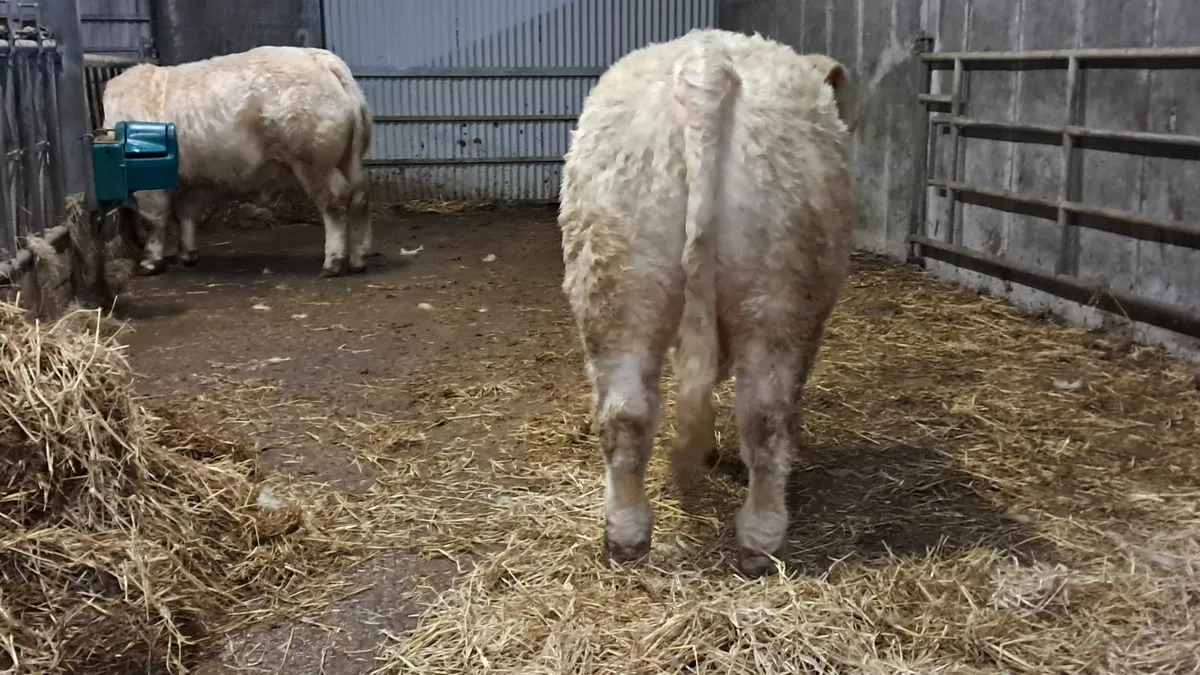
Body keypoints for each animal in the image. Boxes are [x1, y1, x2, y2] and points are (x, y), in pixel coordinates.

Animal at [101, 45, 373, 277]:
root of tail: (321, 60)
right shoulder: (199, 179)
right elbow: (185, 212)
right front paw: (186, 255)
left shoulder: (149, 184)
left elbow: (155, 219)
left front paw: (149, 262)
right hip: (349, 159)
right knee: (359, 197)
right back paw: (359, 259)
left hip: (313, 161)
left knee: (334, 202)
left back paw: (333, 263)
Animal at [559, 29, 859, 577]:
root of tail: (707, 61)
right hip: (783, 295)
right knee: (767, 416)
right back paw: (763, 535)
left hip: (619, 282)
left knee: (627, 413)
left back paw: (626, 534)